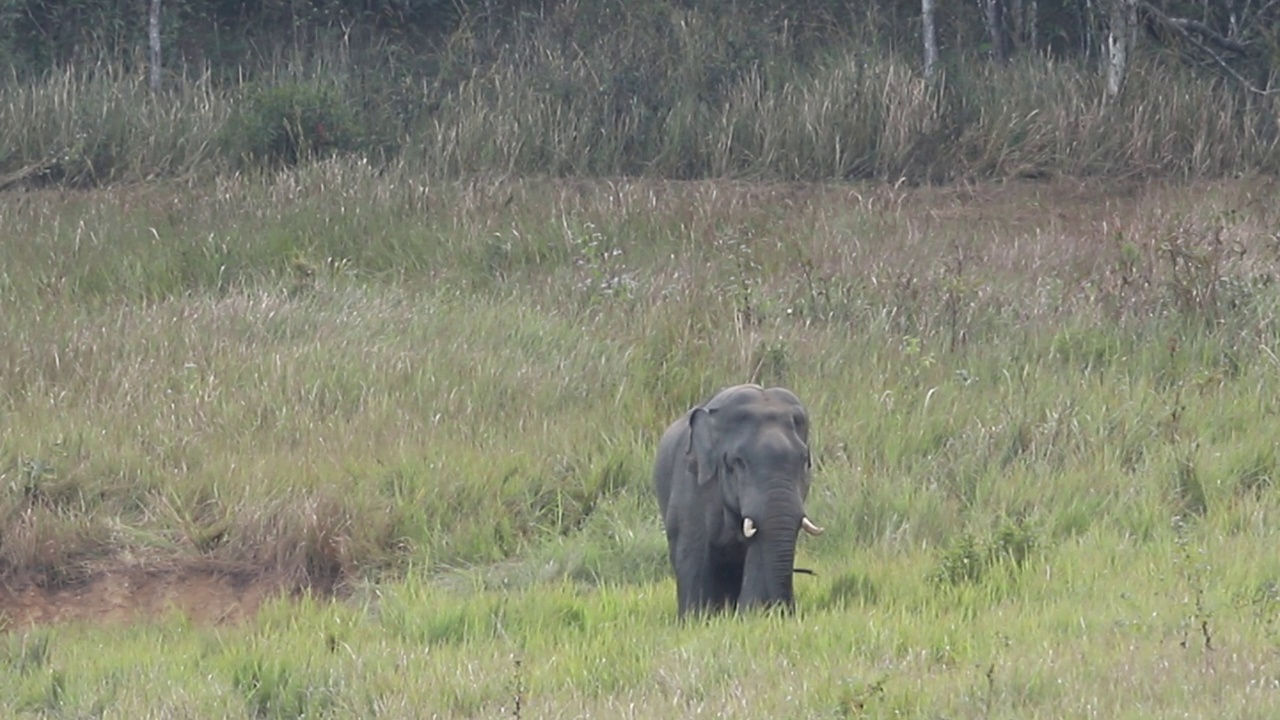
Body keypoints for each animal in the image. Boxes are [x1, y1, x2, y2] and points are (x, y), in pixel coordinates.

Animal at [655, 384, 824, 614]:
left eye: (804, 459)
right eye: (738, 462)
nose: (788, 609)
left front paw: (752, 613)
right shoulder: (691, 487)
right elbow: (693, 551)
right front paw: (697, 617)